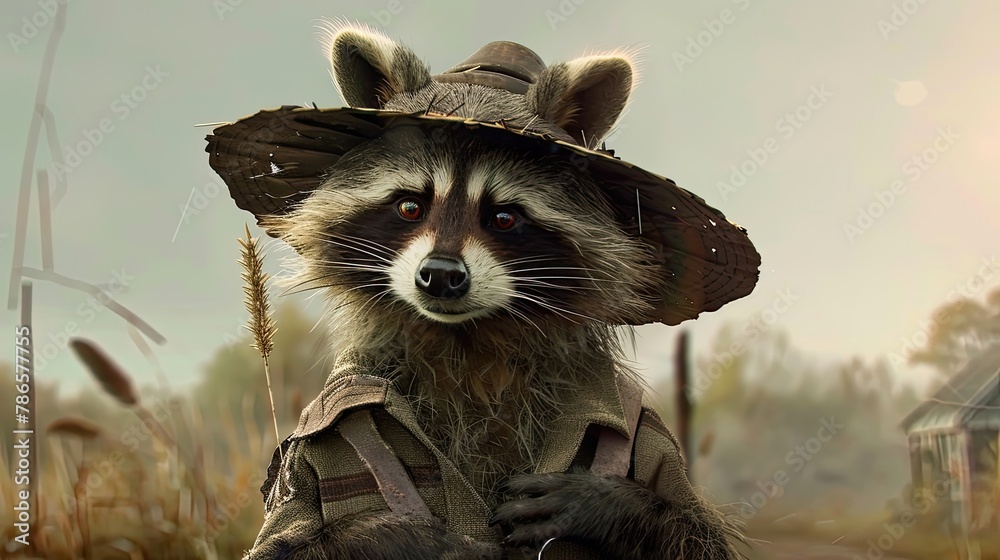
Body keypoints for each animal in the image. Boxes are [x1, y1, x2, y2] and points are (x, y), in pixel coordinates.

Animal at [209, 21, 758, 560]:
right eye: (410, 206)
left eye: (503, 217)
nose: (441, 274)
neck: (467, 339)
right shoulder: (304, 453)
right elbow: (282, 546)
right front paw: (403, 534)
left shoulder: (647, 430)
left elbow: (702, 540)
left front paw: (612, 504)